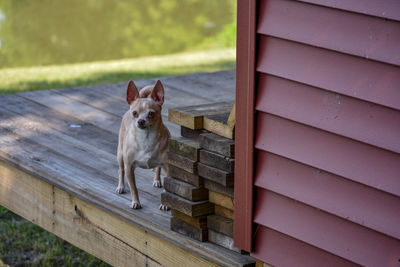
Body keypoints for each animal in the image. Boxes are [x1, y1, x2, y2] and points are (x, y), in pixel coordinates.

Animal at [116, 80, 171, 210]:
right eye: (135, 113)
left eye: (151, 113)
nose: (140, 121)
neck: (146, 138)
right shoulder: (129, 168)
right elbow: (133, 188)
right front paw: (135, 202)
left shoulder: (168, 167)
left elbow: (167, 188)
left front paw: (165, 204)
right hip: (120, 155)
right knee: (121, 170)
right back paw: (121, 186)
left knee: (158, 168)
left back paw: (157, 180)